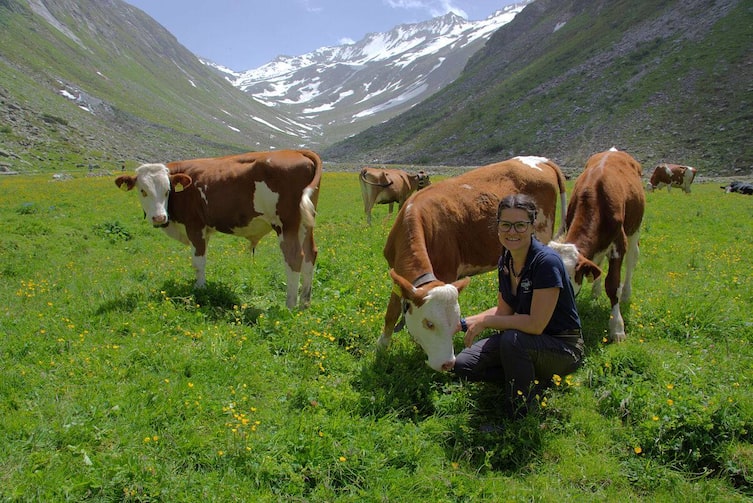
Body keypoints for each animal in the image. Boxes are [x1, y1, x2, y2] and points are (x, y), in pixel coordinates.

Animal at [114, 149, 322, 309]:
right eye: (143, 191)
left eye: (167, 190)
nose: (159, 217)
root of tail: (295, 151)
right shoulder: (205, 229)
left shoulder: (194, 225)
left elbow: (198, 263)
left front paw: (199, 290)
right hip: (305, 225)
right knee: (310, 255)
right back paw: (304, 304)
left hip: (286, 225)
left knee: (294, 258)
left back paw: (289, 306)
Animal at [377, 156, 568, 372]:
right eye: (429, 323)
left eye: (454, 323)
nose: (448, 364)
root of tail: (539, 160)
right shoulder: (398, 275)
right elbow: (391, 312)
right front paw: (381, 349)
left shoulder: (447, 274)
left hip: (542, 234)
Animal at [548, 148, 645, 343]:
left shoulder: (619, 243)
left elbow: (613, 285)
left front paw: (617, 327)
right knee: (598, 264)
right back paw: (595, 291)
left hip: (635, 229)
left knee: (631, 260)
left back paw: (626, 294)